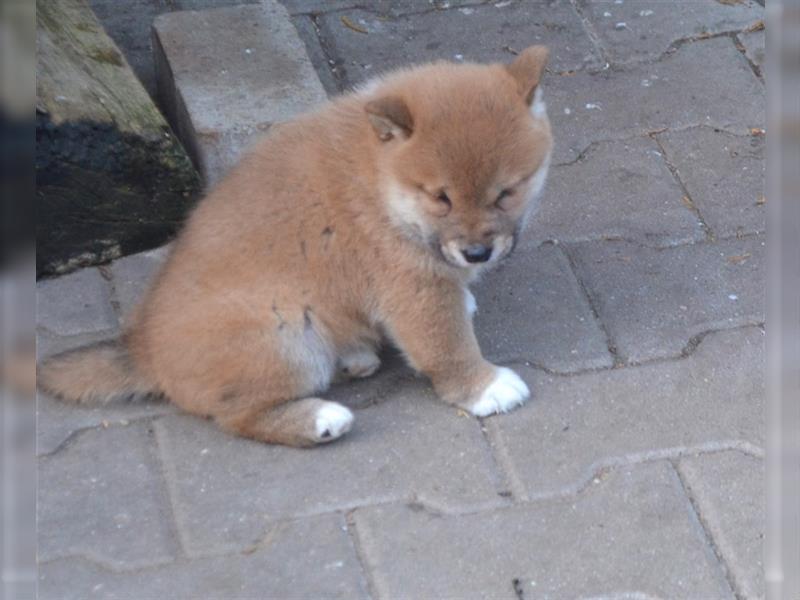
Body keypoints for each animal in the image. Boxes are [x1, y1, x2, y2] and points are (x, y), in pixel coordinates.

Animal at [40, 45, 552, 446]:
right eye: (441, 198)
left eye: (506, 193)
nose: (477, 255)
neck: (379, 179)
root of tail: (143, 347)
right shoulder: (412, 288)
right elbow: (447, 346)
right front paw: (484, 386)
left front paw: (465, 299)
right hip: (285, 335)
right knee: (237, 415)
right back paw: (320, 419)